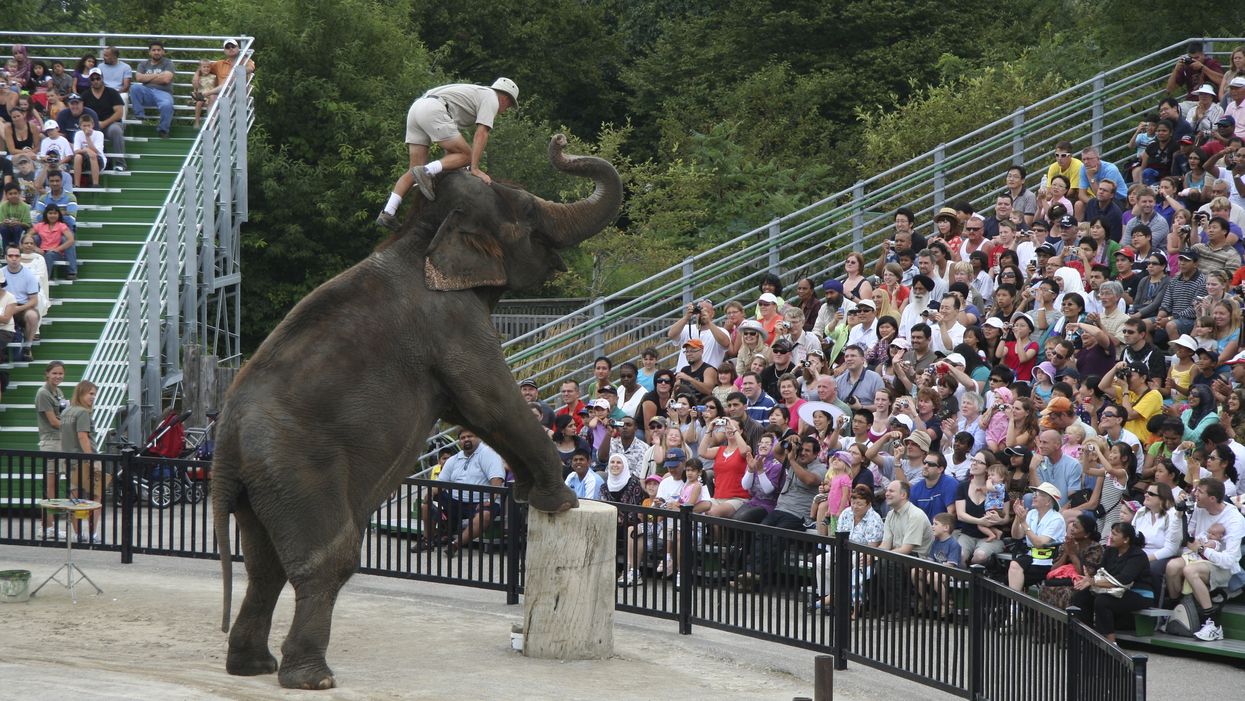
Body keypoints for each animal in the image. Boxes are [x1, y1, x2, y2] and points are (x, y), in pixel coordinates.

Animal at [211, 134, 622, 690]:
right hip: (296, 469)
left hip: (264, 484)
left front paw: (531, 497)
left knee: (264, 565)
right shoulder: (452, 323)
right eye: (527, 210)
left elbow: (473, 413)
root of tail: (223, 447)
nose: (559, 142)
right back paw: (313, 679)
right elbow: (489, 399)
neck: (420, 235)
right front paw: (561, 502)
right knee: (328, 557)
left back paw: (252, 667)